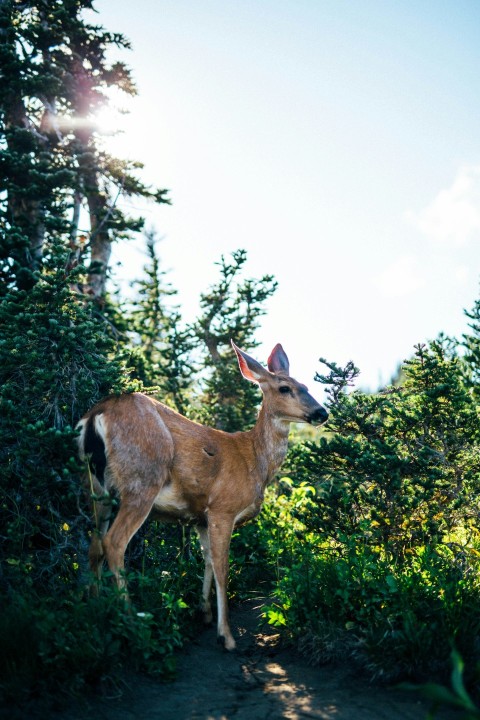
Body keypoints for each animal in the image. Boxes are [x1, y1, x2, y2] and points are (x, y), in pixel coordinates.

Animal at [76, 341, 328, 650]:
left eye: (306, 385)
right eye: (284, 388)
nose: (322, 413)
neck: (254, 459)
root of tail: (96, 415)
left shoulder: (200, 517)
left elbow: (207, 559)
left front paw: (204, 613)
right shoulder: (223, 507)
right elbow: (222, 566)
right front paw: (226, 635)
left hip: (96, 488)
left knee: (94, 545)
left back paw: (96, 609)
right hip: (142, 480)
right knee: (113, 543)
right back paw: (132, 622)